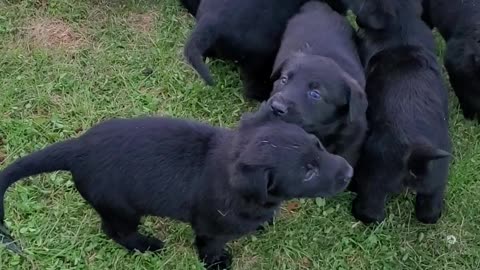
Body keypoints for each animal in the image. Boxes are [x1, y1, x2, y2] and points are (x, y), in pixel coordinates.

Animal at [0, 103, 352, 268]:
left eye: (319, 145)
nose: (349, 172)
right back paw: (146, 246)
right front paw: (217, 264)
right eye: (307, 172)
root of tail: (77, 148)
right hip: (121, 208)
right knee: (116, 231)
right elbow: (210, 246)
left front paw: (265, 221)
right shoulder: (211, 227)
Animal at [354, 0, 452, 224]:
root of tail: (417, 152)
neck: (402, 29)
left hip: (375, 176)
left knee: (372, 210)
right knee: (430, 211)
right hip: (436, 181)